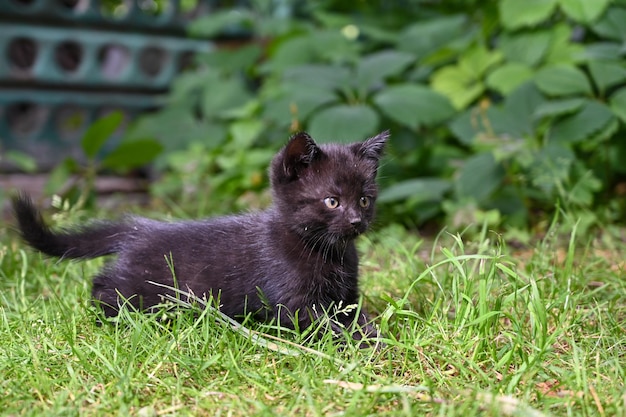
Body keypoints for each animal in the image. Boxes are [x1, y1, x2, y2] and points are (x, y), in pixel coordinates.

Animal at [11, 131, 386, 342]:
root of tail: (142, 227)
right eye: (332, 201)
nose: (356, 221)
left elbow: (356, 315)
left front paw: (371, 334)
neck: (329, 252)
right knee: (104, 286)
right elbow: (323, 324)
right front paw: (365, 344)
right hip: (144, 287)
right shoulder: (293, 302)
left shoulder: (347, 297)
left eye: (364, 200)